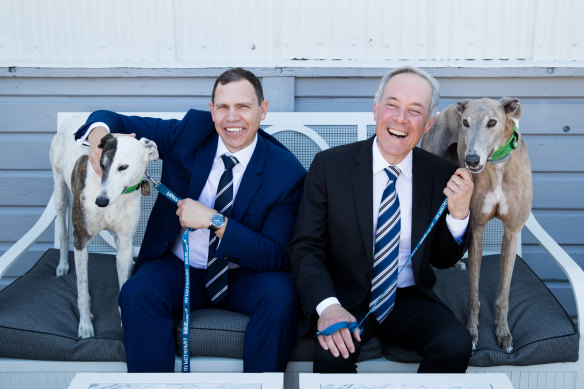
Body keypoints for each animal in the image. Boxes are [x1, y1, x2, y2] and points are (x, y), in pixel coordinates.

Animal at [50, 117, 159, 336]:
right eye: (101, 164)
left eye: (123, 167)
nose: (100, 201)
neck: (118, 200)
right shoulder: (81, 239)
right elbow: (83, 289)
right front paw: (85, 325)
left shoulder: (125, 241)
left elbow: (124, 280)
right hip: (60, 194)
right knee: (63, 233)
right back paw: (63, 265)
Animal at [422, 97, 532, 352]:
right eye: (465, 123)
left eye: (492, 122)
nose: (471, 160)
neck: (498, 165)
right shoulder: (477, 229)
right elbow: (473, 294)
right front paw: (472, 332)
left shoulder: (512, 232)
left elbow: (504, 294)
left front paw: (503, 334)